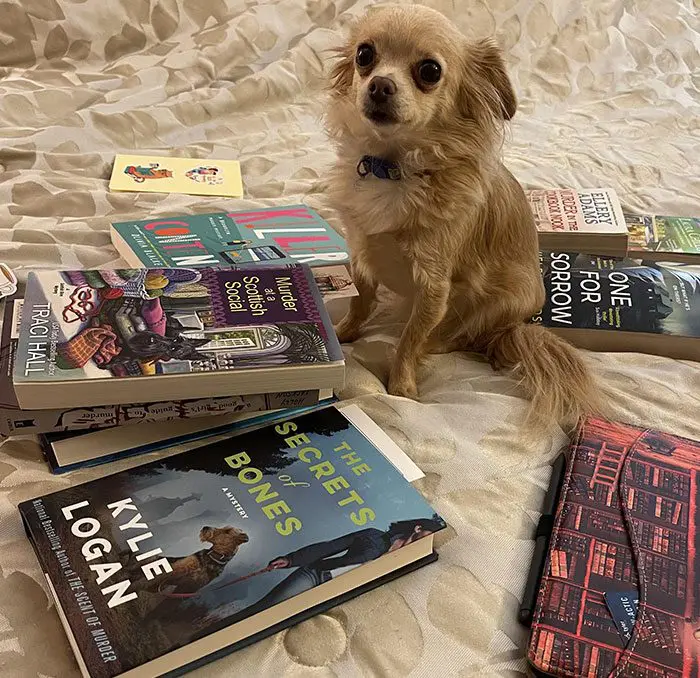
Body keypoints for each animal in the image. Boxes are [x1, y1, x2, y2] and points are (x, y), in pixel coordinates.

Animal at [326, 3, 600, 430]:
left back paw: (439, 342)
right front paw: (343, 333)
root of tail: (518, 326)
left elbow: (409, 340)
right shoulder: (362, 252)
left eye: (429, 71)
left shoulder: (433, 286)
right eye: (364, 55)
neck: (394, 167)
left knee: (462, 336)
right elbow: (360, 302)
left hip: (501, 301)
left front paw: (402, 386)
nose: (380, 85)